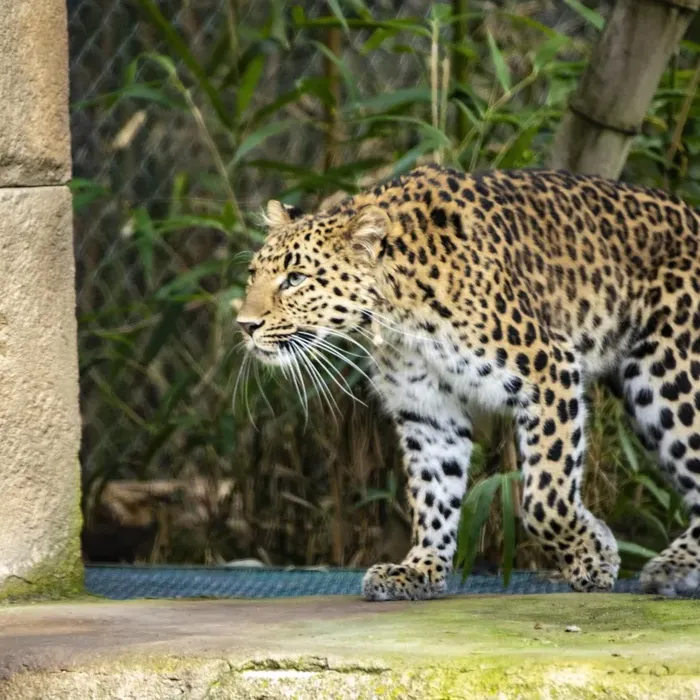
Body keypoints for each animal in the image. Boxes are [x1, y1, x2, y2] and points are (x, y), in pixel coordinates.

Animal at [236, 163, 700, 601]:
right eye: (253, 274)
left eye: (296, 279)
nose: (245, 325)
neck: (398, 311)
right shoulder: (426, 410)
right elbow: (434, 491)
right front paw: (419, 569)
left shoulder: (550, 369)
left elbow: (544, 498)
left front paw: (594, 555)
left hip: (667, 373)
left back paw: (671, 567)